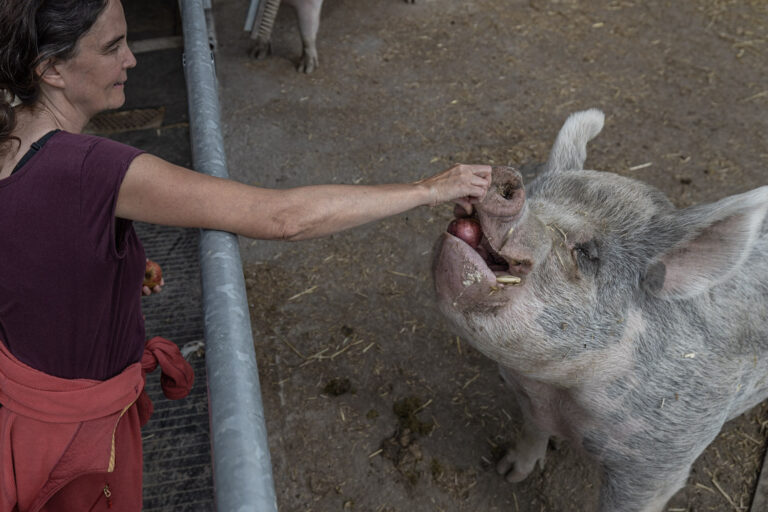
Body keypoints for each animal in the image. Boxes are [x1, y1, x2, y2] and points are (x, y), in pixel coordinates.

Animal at [432, 108, 768, 512]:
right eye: (537, 193)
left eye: (588, 253)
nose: (503, 180)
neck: (560, 395)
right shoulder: (528, 397)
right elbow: (531, 432)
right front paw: (509, 472)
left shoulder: (660, 464)